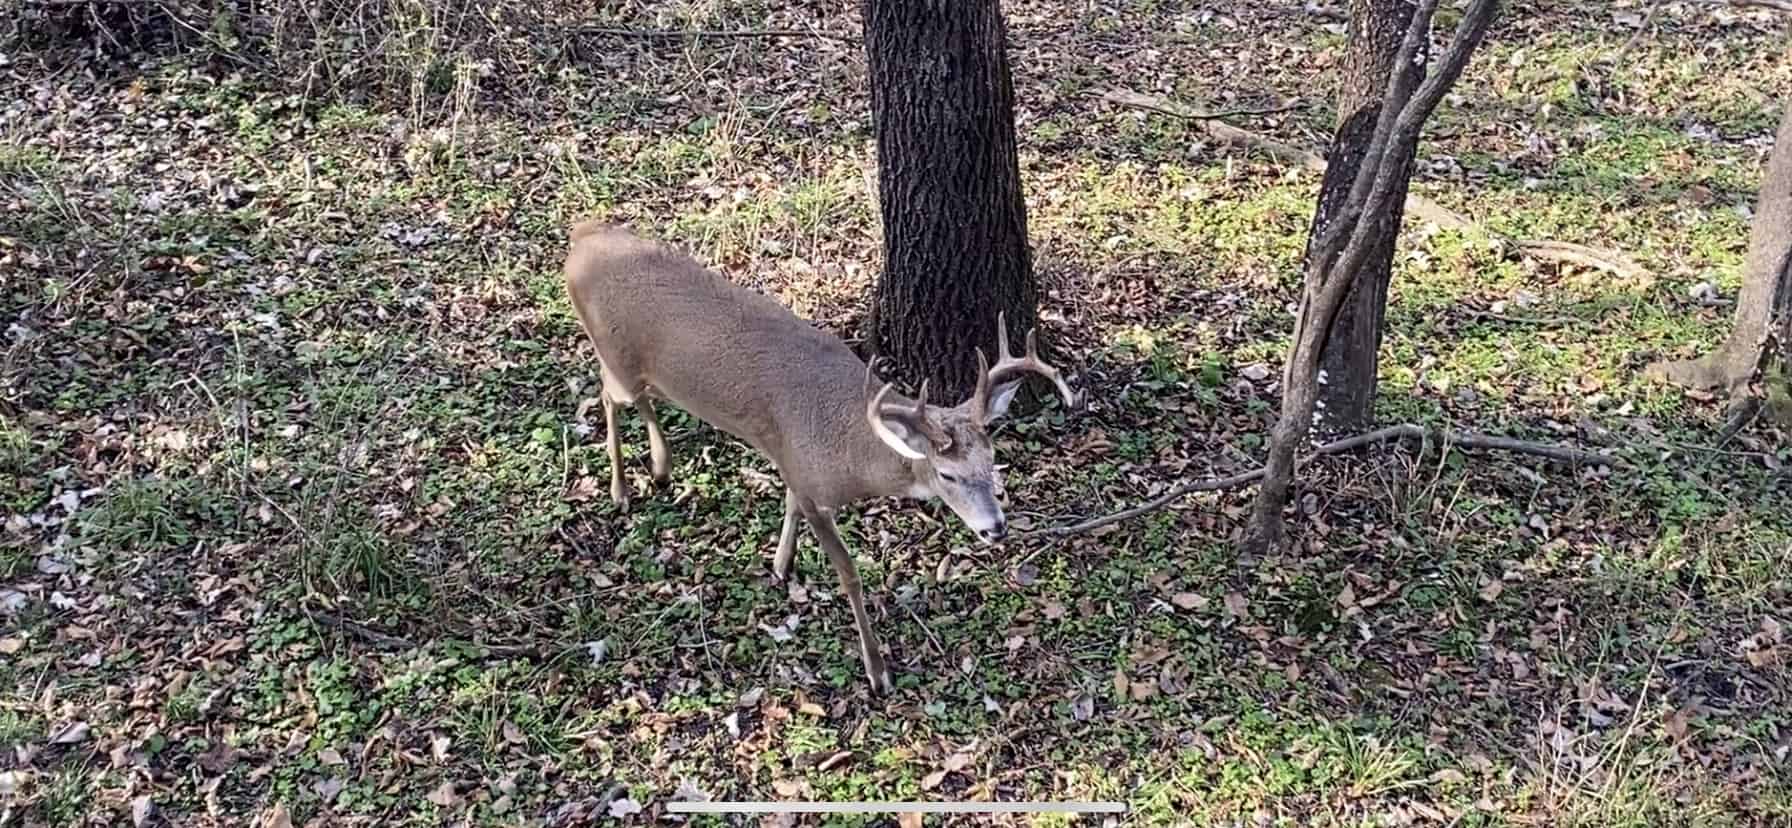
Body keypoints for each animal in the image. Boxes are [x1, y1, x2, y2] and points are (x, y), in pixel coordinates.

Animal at [562, 221, 1079, 694]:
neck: (849, 449)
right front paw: (877, 671)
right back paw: (621, 490)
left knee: (637, 397)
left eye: (991, 460)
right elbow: (848, 572)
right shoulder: (815, 488)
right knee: (607, 395)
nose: (996, 528)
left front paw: (780, 563)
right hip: (616, 358)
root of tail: (581, 238)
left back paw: (661, 466)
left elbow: (789, 502)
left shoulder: (793, 463)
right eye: (947, 475)